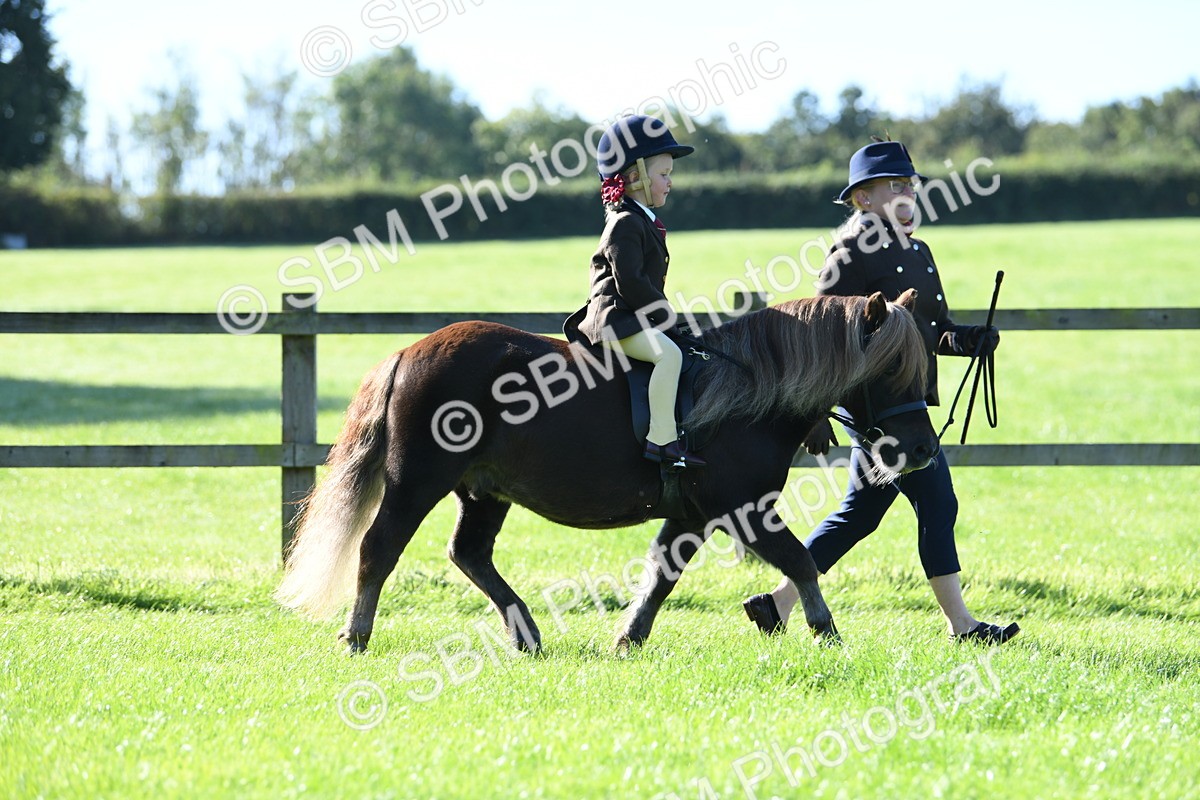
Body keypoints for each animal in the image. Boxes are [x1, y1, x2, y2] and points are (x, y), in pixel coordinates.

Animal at [275, 289, 938, 654]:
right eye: (891, 371)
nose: (922, 451)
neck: (746, 393)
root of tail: (408, 352)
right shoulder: (742, 508)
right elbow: (801, 560)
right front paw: (828, 634)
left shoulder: (692, 515)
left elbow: (662, 575)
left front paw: (628, 638)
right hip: (418, 483)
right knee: (379, 548)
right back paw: (357, 635)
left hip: (483, 492)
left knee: (469, 554)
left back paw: (526, 632)